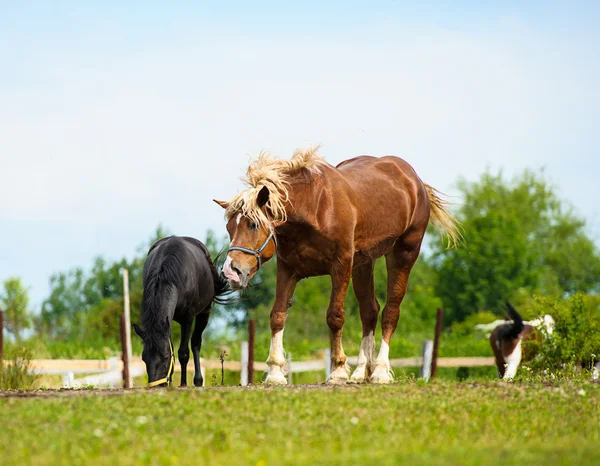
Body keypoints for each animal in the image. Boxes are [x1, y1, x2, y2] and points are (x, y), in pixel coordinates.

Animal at [134, 237, 230, 386]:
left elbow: (183, 353)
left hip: (204, 313)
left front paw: (183, 383)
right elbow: (172, 348)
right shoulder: (167, 322)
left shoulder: (187, 319)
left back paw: (198, 381)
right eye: (144, 358)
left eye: (165, 357)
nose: (157, 385)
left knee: (196, 342)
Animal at [214, 147, 460, 384]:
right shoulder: (287, 269)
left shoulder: (341, 265)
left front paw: (338, 370)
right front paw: (275, 372)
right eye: (229, 227)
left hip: (403, 254)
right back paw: (361, 372)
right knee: (369, 311)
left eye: (253, 225)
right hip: (364, 263)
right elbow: (277, 315)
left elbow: (335, 316)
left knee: (390, 311)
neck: (313, 206)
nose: (230, 272)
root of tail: (415, 181)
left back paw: (380, 371)